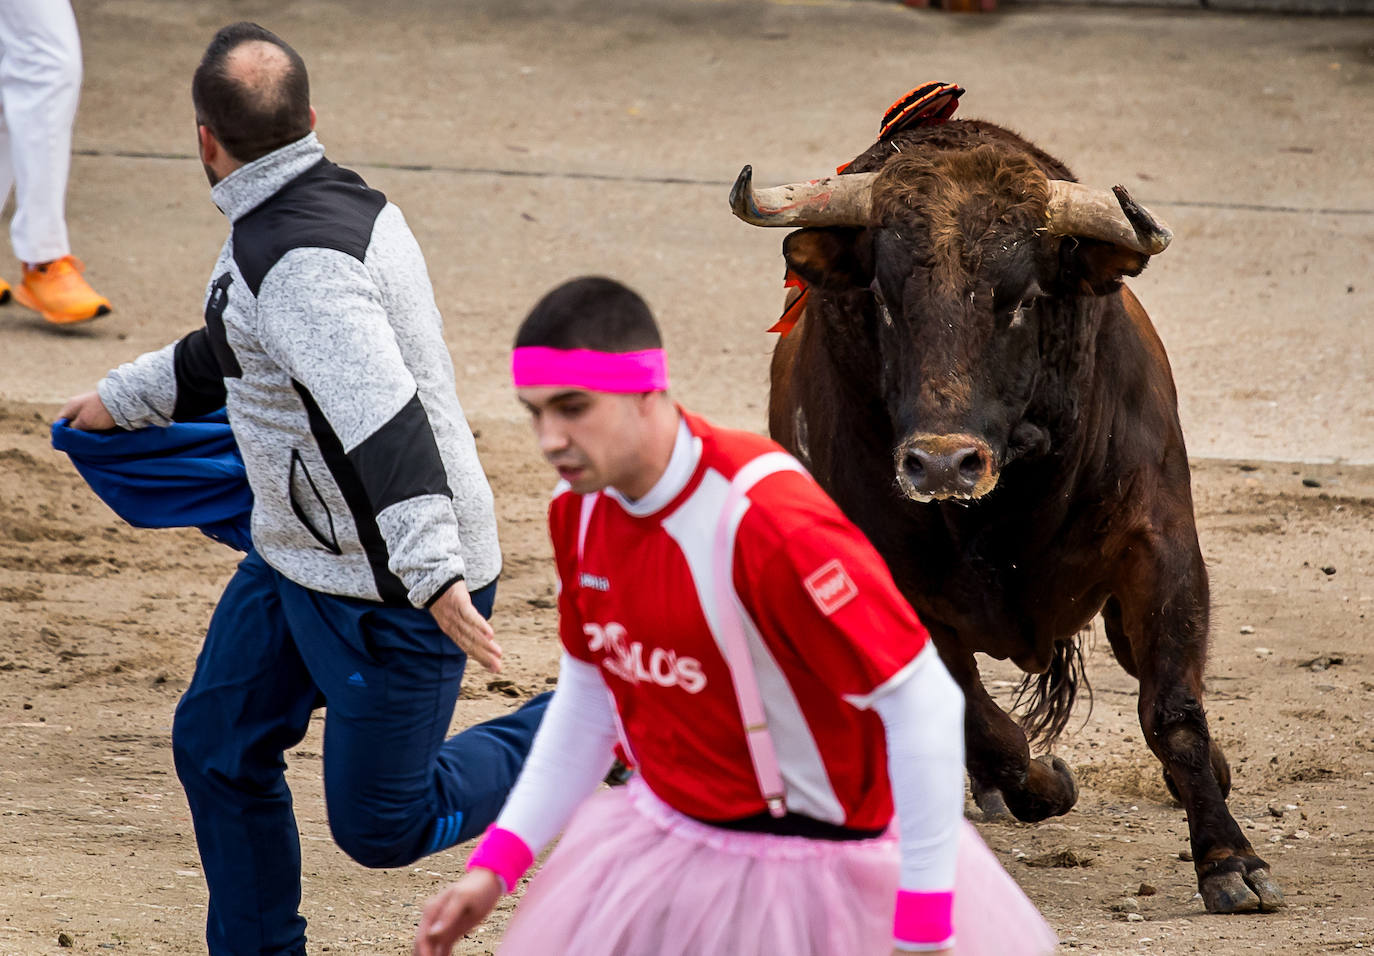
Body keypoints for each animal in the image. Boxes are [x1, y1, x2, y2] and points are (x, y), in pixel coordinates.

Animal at [736, 116, 1280, 917]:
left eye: (1019, 297)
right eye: (886, 298)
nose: (940, 464)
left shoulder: (1160, 547)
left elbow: (1173, 709)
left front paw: (1229, 861)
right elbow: (982, 727)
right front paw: (1047, 782)